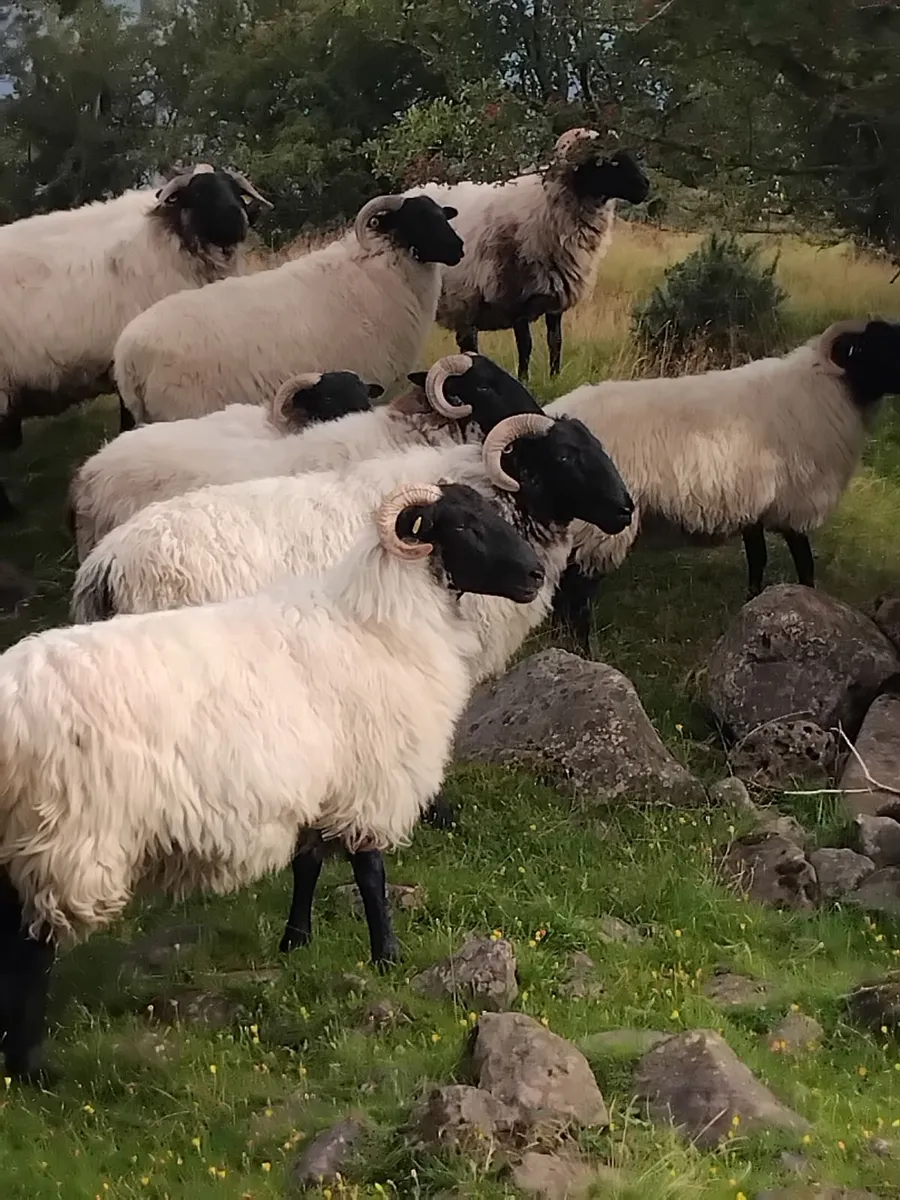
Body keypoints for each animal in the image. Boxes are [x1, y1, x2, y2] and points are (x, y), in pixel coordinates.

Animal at [0, 480, 546, 1083]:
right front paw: (387, 955)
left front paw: (295, 943)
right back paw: (30, 1064)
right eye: (464, 526)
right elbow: (371, 874)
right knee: (31, 947)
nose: (536, 574)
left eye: (493, 513)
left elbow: (307, 866)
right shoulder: (369, 781)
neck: (383, 621)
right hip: (65, 836)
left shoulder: (319, 785)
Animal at [404, 128, 650, 380]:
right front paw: (524, 380)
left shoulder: (555, 299)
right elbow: (526, 345)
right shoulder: (516, 297)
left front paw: (554, 378)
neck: (544, 203)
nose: (645, 186)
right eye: (605, 161)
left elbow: (555, 342)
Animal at [544, 317, 900, 651]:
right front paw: (809, 606)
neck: (827, 392)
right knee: (576, 591)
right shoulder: (795, 504)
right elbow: (804, 563)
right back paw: (580, 647)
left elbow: (757, 559)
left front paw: (753, 605)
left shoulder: (753, 505)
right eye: (876, 347)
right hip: (597, 526)